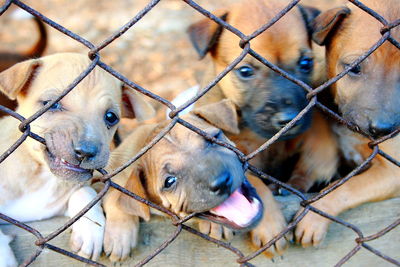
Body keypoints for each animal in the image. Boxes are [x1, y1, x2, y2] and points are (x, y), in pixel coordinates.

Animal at [0, 52, 155, 266]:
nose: (86, 152)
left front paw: (91, 230)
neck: (40, 176)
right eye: (52, 104)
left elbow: (85, 192)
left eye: (111, 117)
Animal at [101, 99, 290, 262]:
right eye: (170, 181)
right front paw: (120, 235)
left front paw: (270, 225)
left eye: (213, 139)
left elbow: (257, 183)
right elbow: (115, 198)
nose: (221, 182)